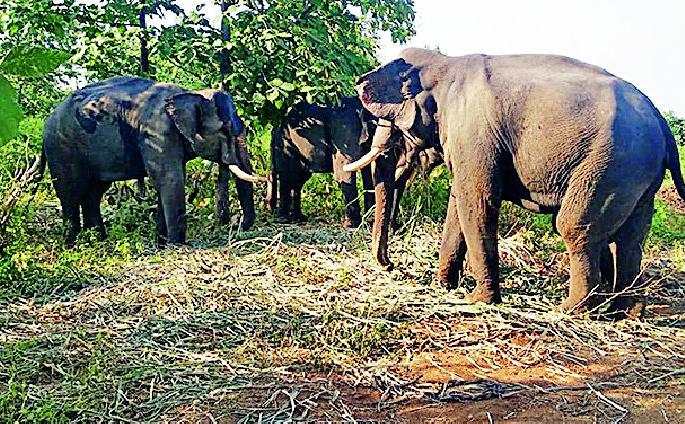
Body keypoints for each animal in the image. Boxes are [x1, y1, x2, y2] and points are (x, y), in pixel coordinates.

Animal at [42, 76, 265, 246]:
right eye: (225, 129)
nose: (237, 224)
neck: (190, 94)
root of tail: (49, 118)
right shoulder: (157, 133)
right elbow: (170, 179)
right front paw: (177, 246)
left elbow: (166, 182)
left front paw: (162, 244)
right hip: (61, 148)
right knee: (70, 194)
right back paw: (71, 245)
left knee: (93, 194)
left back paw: (98, 242)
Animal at [344, 48, 685, 318]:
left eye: (391, 128)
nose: (389, 266)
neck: (445, 64)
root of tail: (660, 119)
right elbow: (459, 203)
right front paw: (443, 286)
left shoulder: (473, 132)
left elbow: (477, 201)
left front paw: (478, 301)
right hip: (637, 174)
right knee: (629, 237)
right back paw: (623, 313)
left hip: (612, 162)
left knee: (575, 226)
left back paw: (571, 310)